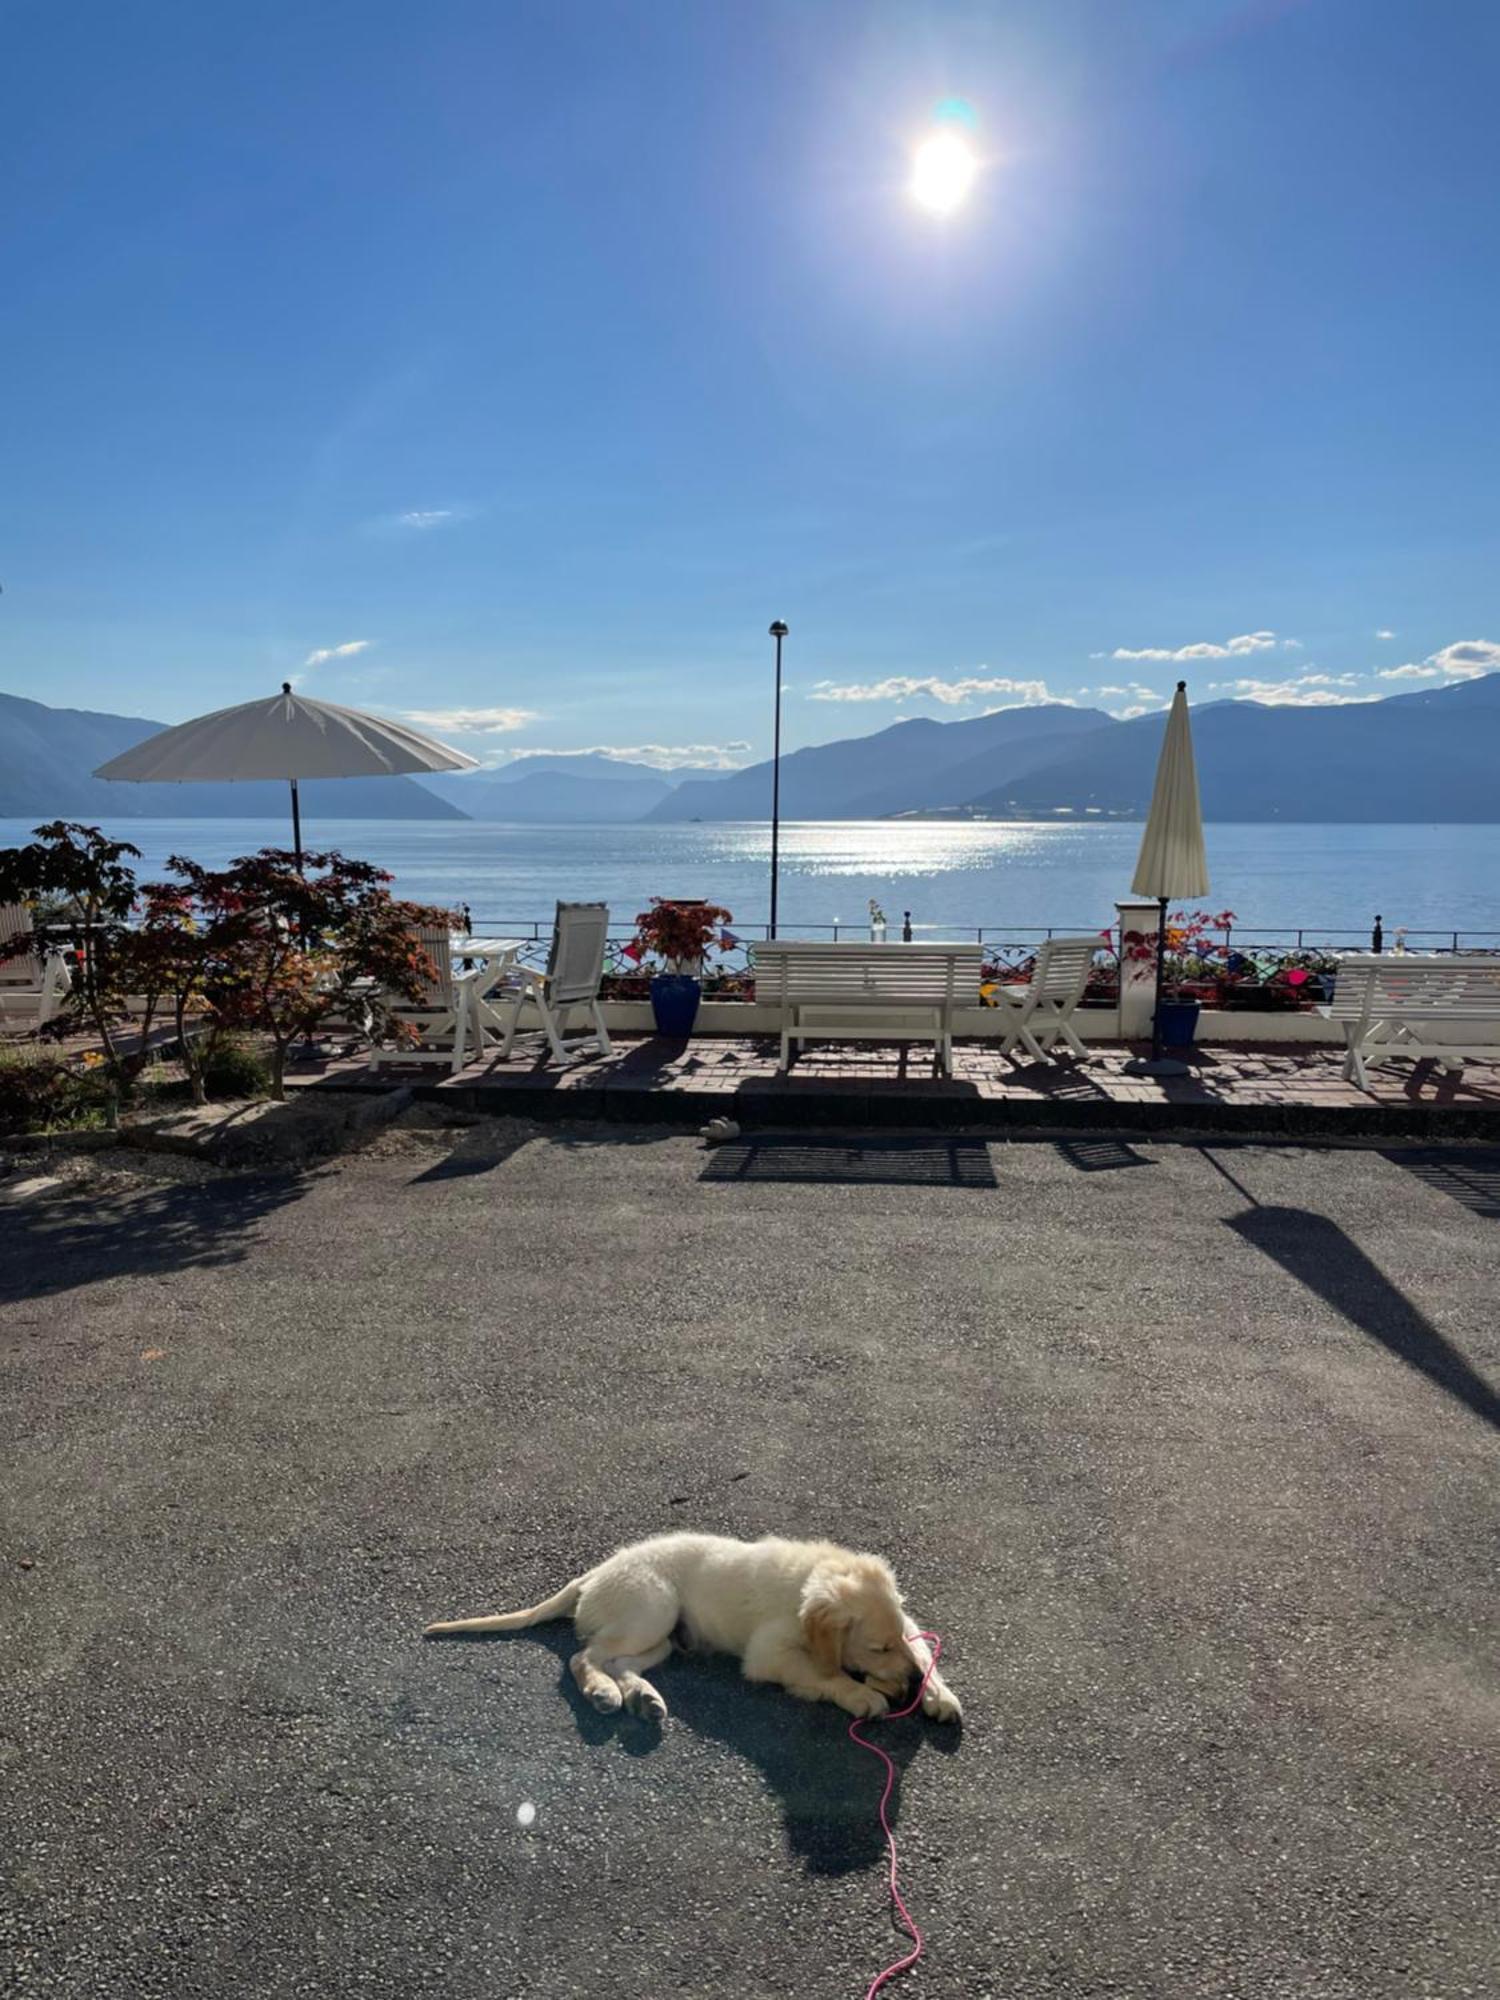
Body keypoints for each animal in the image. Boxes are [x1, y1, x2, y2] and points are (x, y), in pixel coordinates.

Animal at [424, 1528, 964, 1720]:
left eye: (893, 1643)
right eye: (876, 1648)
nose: (909, 1685)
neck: (810, 1576)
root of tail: (593, 1574)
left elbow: (922, 1646)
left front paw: (936, 1691)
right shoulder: (766, 1653)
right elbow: (819, 1672)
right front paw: (860, 1695)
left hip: (662, 1638)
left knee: (616, 1660)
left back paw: (641, 1697)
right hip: (654, 1605)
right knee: (583, 1656)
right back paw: (603, 1693)